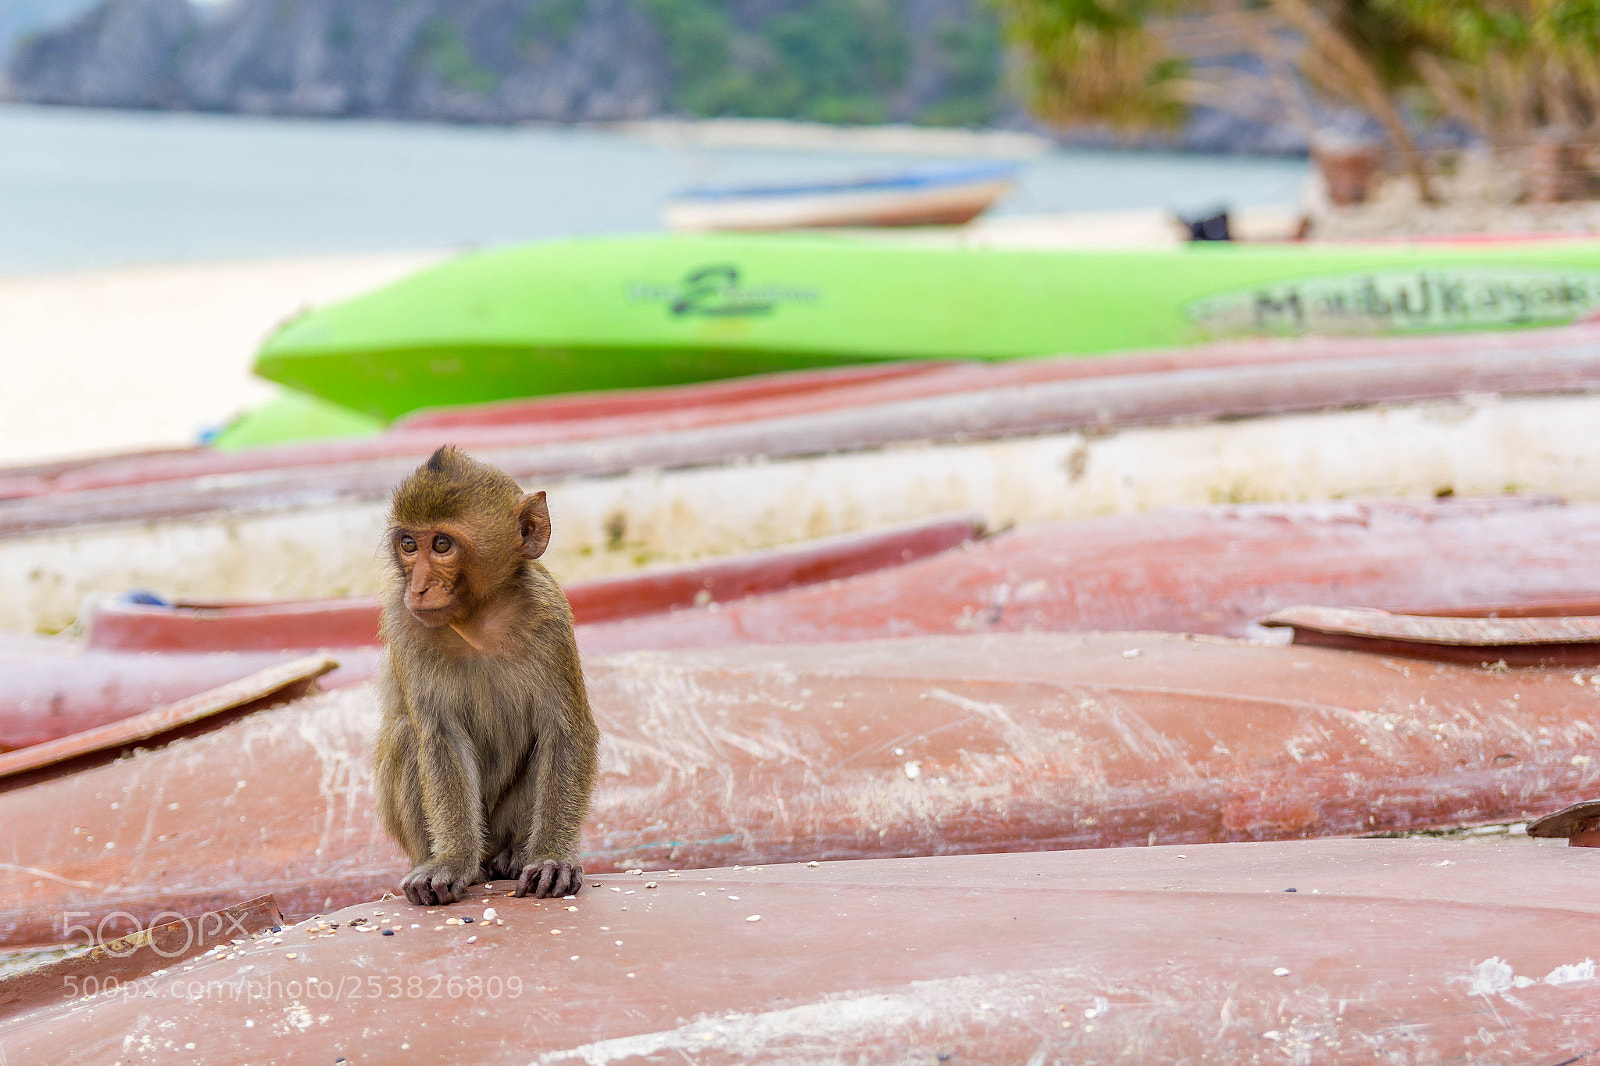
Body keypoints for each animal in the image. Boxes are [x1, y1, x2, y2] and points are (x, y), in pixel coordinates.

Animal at [373, 445, 599, 905]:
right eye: (409, 544)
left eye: (442, 544)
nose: (418, 587)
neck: (479, 621)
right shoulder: (404, 624)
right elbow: (439, 736)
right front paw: (452, 861)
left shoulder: (550, 616)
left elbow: (566, 732)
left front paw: (551, 858)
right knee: (407, 735)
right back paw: (468, 864)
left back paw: (514, 854)